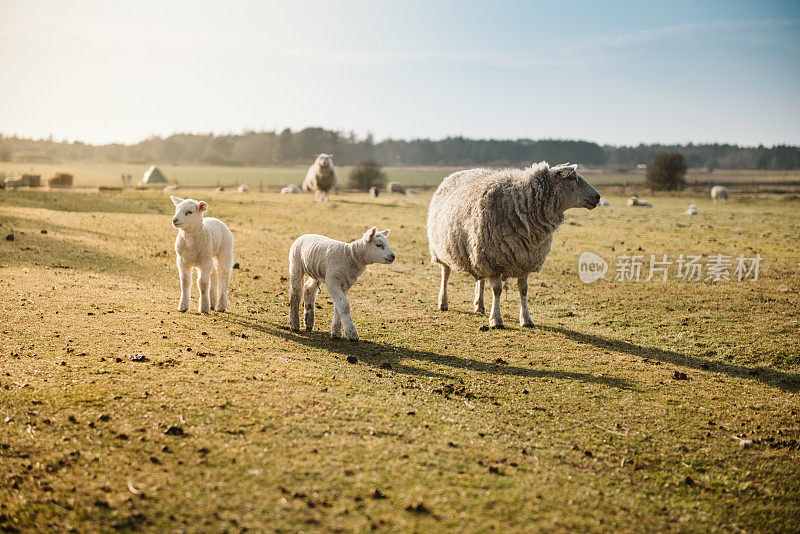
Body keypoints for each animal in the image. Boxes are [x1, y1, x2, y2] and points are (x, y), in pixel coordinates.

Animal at [428, 162, 596, 330]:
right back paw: (443, 303)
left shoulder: (525, 258)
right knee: (445, 273)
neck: (521, 204)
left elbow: (523, 290)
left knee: (481, 279)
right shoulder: (494, 260)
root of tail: (456, 174)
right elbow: (497, 290)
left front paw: (526, 319)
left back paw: (480, 305)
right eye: (572, 178)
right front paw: (496, 320)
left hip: (477, 250)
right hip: (443, 249)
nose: (597, 196)